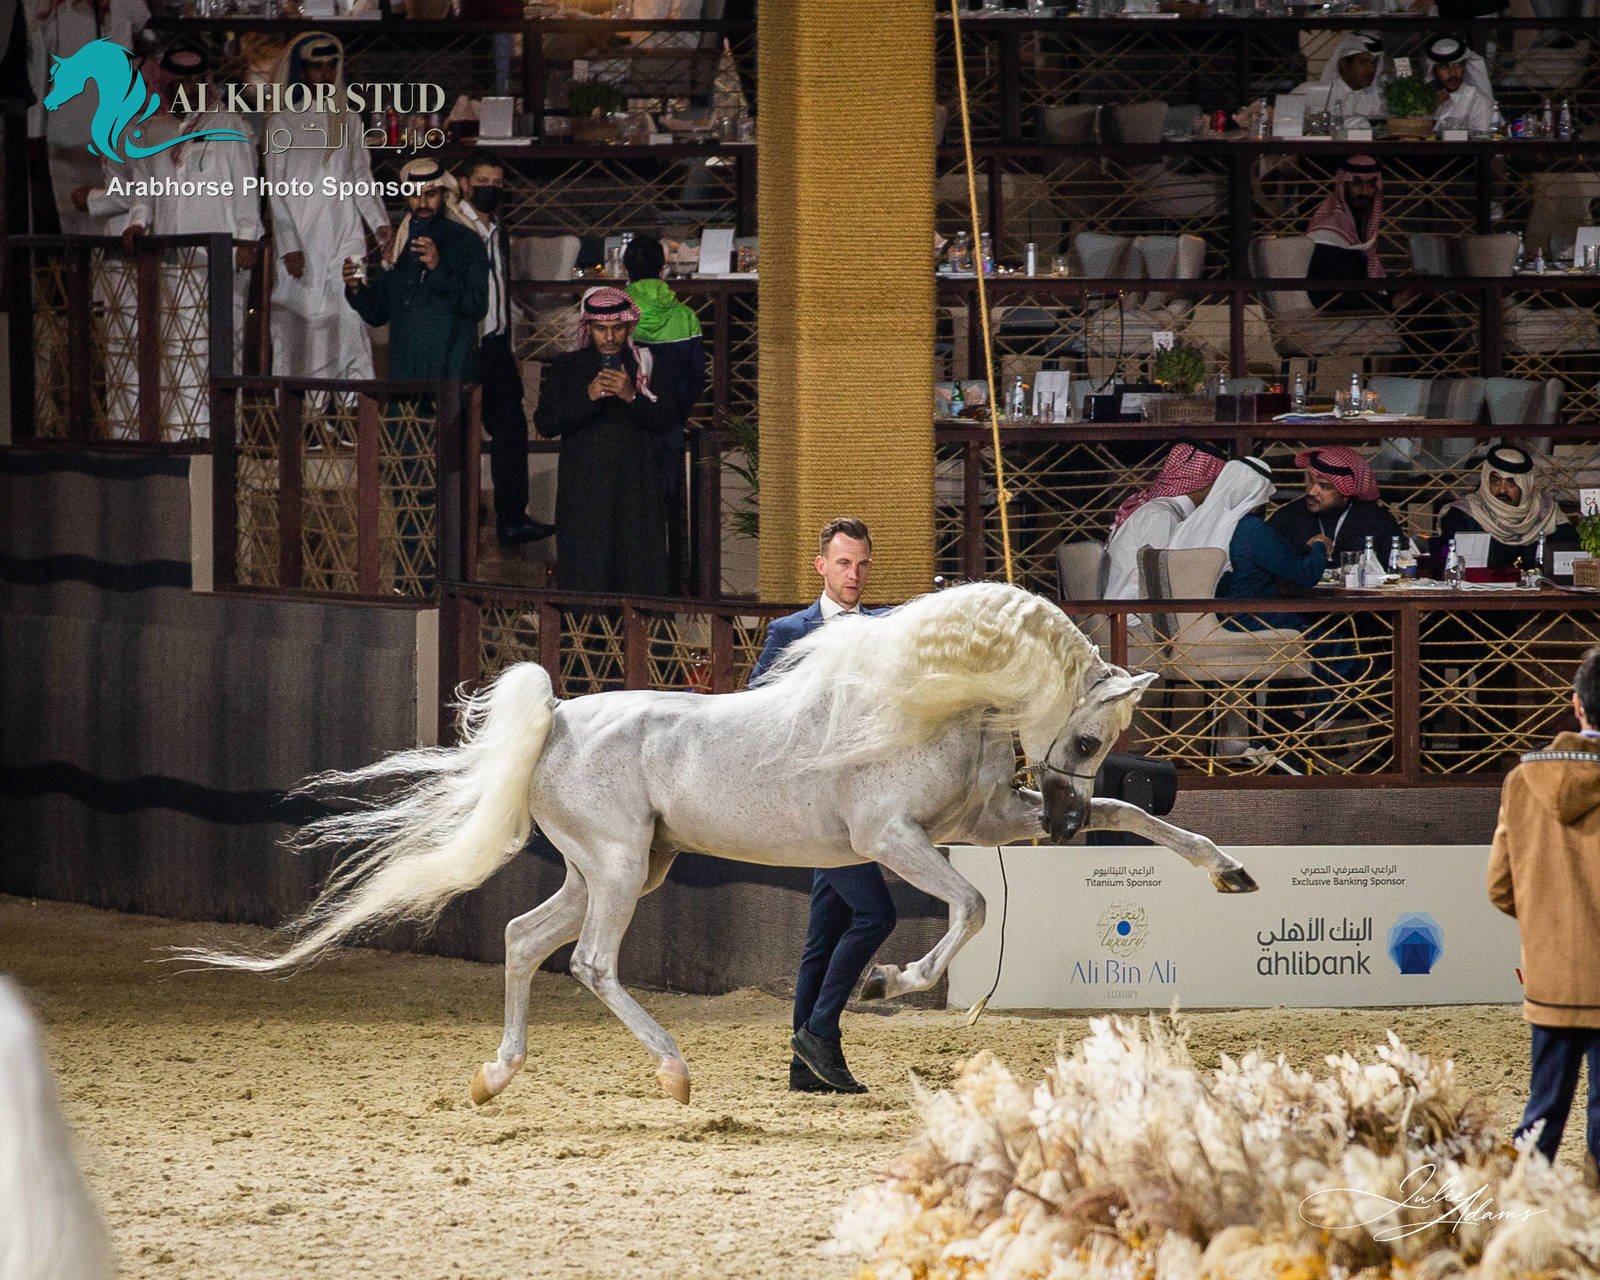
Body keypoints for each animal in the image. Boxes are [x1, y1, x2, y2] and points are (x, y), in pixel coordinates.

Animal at [177, 582, 1257, 1106]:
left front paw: (1231, 871)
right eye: (1088, 736)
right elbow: (974, 902)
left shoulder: (982, 821)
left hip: (617, 867)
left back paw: (496, 1076)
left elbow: (1141, 820)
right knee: (591, 961)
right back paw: (674, 1072)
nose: (1066, 825)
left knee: (525, 939)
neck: (926, 700)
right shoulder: (895, 837)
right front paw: (897, 980)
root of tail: (556, 717)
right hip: (618, 868)